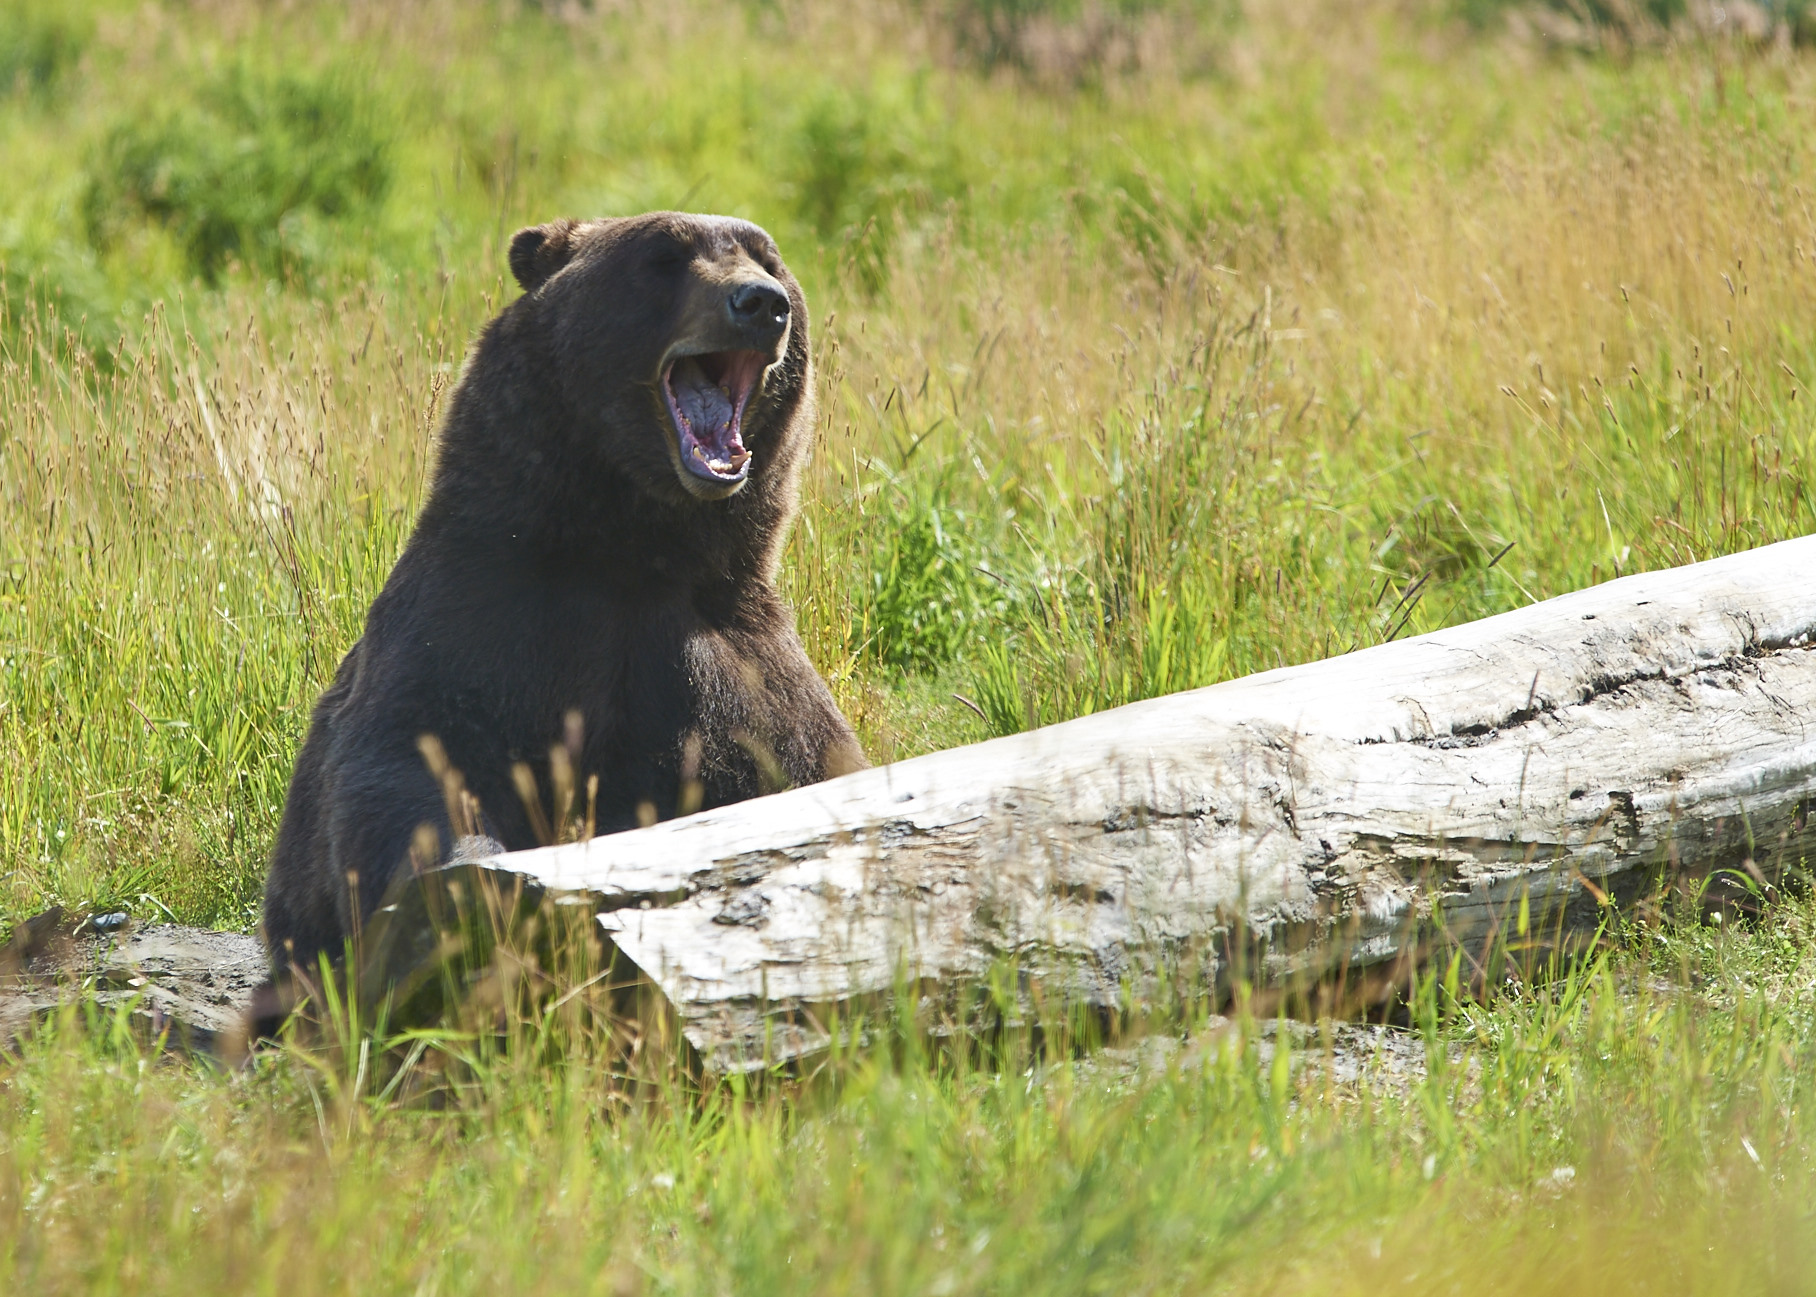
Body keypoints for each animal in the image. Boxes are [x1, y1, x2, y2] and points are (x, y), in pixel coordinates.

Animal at [257, 209, 871, 973]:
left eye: (766, 255)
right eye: (664, 256)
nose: (761, 303)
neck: (632, 543)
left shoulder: (735, 660)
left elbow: (804, 763)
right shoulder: (484, 620)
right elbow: (414, 766)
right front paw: (469, 884)